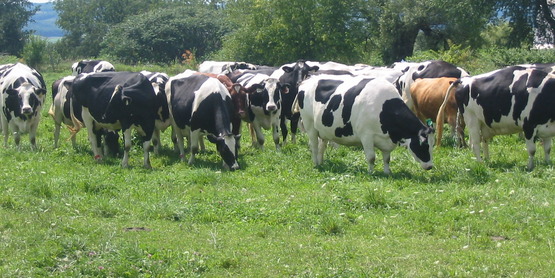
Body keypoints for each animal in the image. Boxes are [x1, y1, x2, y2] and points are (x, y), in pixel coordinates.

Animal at [298, 74, 436, 174]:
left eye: (432, 145)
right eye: (424, 145)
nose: (430, 166)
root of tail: (309, 79)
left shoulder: (386, 140)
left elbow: (387, 158)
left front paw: (387, 172)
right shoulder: (366, 136)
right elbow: (371, 157)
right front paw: (371, 172)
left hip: (323, 130)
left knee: (322, 146)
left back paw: (321, 162)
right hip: (310, 125)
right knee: (314, 146)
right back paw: (316, 164)